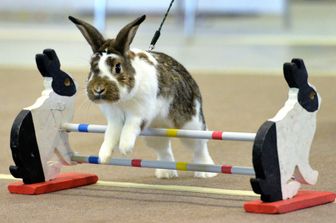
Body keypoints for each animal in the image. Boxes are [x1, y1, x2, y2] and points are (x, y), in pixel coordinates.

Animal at [68, 14, 217, 178]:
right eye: (92, 68)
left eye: (117, 67)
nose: (98, 90)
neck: (123, 100)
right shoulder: (114, 118)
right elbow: (111, 134)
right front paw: (104, 155)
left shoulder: (140, 113)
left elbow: (129, 127)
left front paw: (125, 147)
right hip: (154, 135)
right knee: (164, 150)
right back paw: (166, 173)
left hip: (190, 127)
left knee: (199, 147)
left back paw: (205, 172)